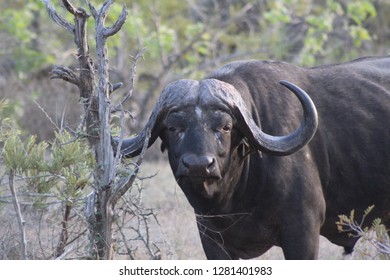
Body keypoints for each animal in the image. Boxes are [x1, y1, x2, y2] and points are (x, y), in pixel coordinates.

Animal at [116, 55, 390, 260]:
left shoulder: (303, 233)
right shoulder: (212, 240)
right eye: (173, 128)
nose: (198, 165)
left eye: (225, 127)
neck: (235, 198)